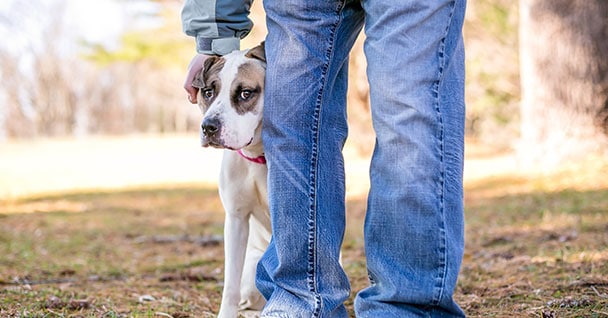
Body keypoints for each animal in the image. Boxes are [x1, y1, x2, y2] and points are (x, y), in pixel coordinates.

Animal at [192, 42, 270, 318]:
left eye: (246, 93)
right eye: (208, 92)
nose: (209, 127)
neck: (259, 156)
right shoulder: (236, 219)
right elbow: (231, 285)